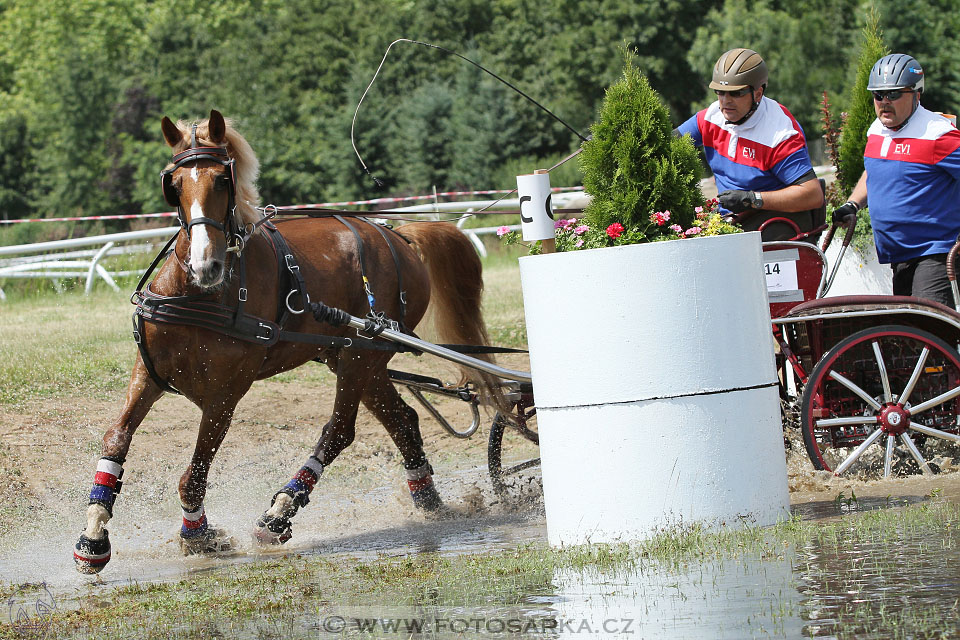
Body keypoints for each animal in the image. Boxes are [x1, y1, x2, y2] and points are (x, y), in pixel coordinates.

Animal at [73, 111, 502, 576]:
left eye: (223, 180)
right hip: (357, 359)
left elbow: (194, 473)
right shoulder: (148, 375)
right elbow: (116, 439)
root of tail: (399, 236)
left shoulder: (224, 396)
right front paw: (94, 535)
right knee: (402, 422)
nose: (206, 265)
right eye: (175, 183)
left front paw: (199, 536)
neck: (200, 297)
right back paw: (428, 501)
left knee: (339, 431)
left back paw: (279, 512)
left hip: (360, 356)